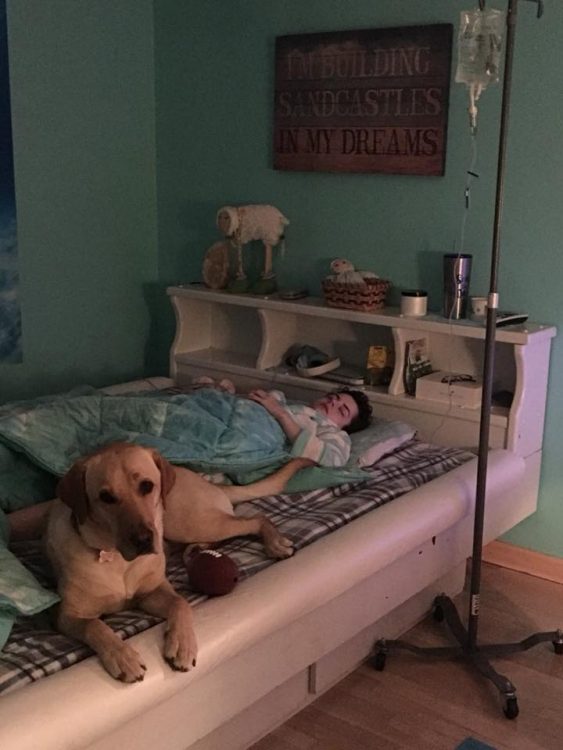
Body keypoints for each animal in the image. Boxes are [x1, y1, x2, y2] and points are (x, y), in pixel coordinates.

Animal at [47, 444, 312, 684]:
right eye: (106, 497)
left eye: (146, 486)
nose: (143, 540)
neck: (117, 559)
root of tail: (201, 478)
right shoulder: (67, 615)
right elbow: (94, 626)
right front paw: (122, 657)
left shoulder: (152, 591)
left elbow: (180, 602)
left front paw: (182, 644)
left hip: (189, 522)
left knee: (256, 518)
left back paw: (275, 543)